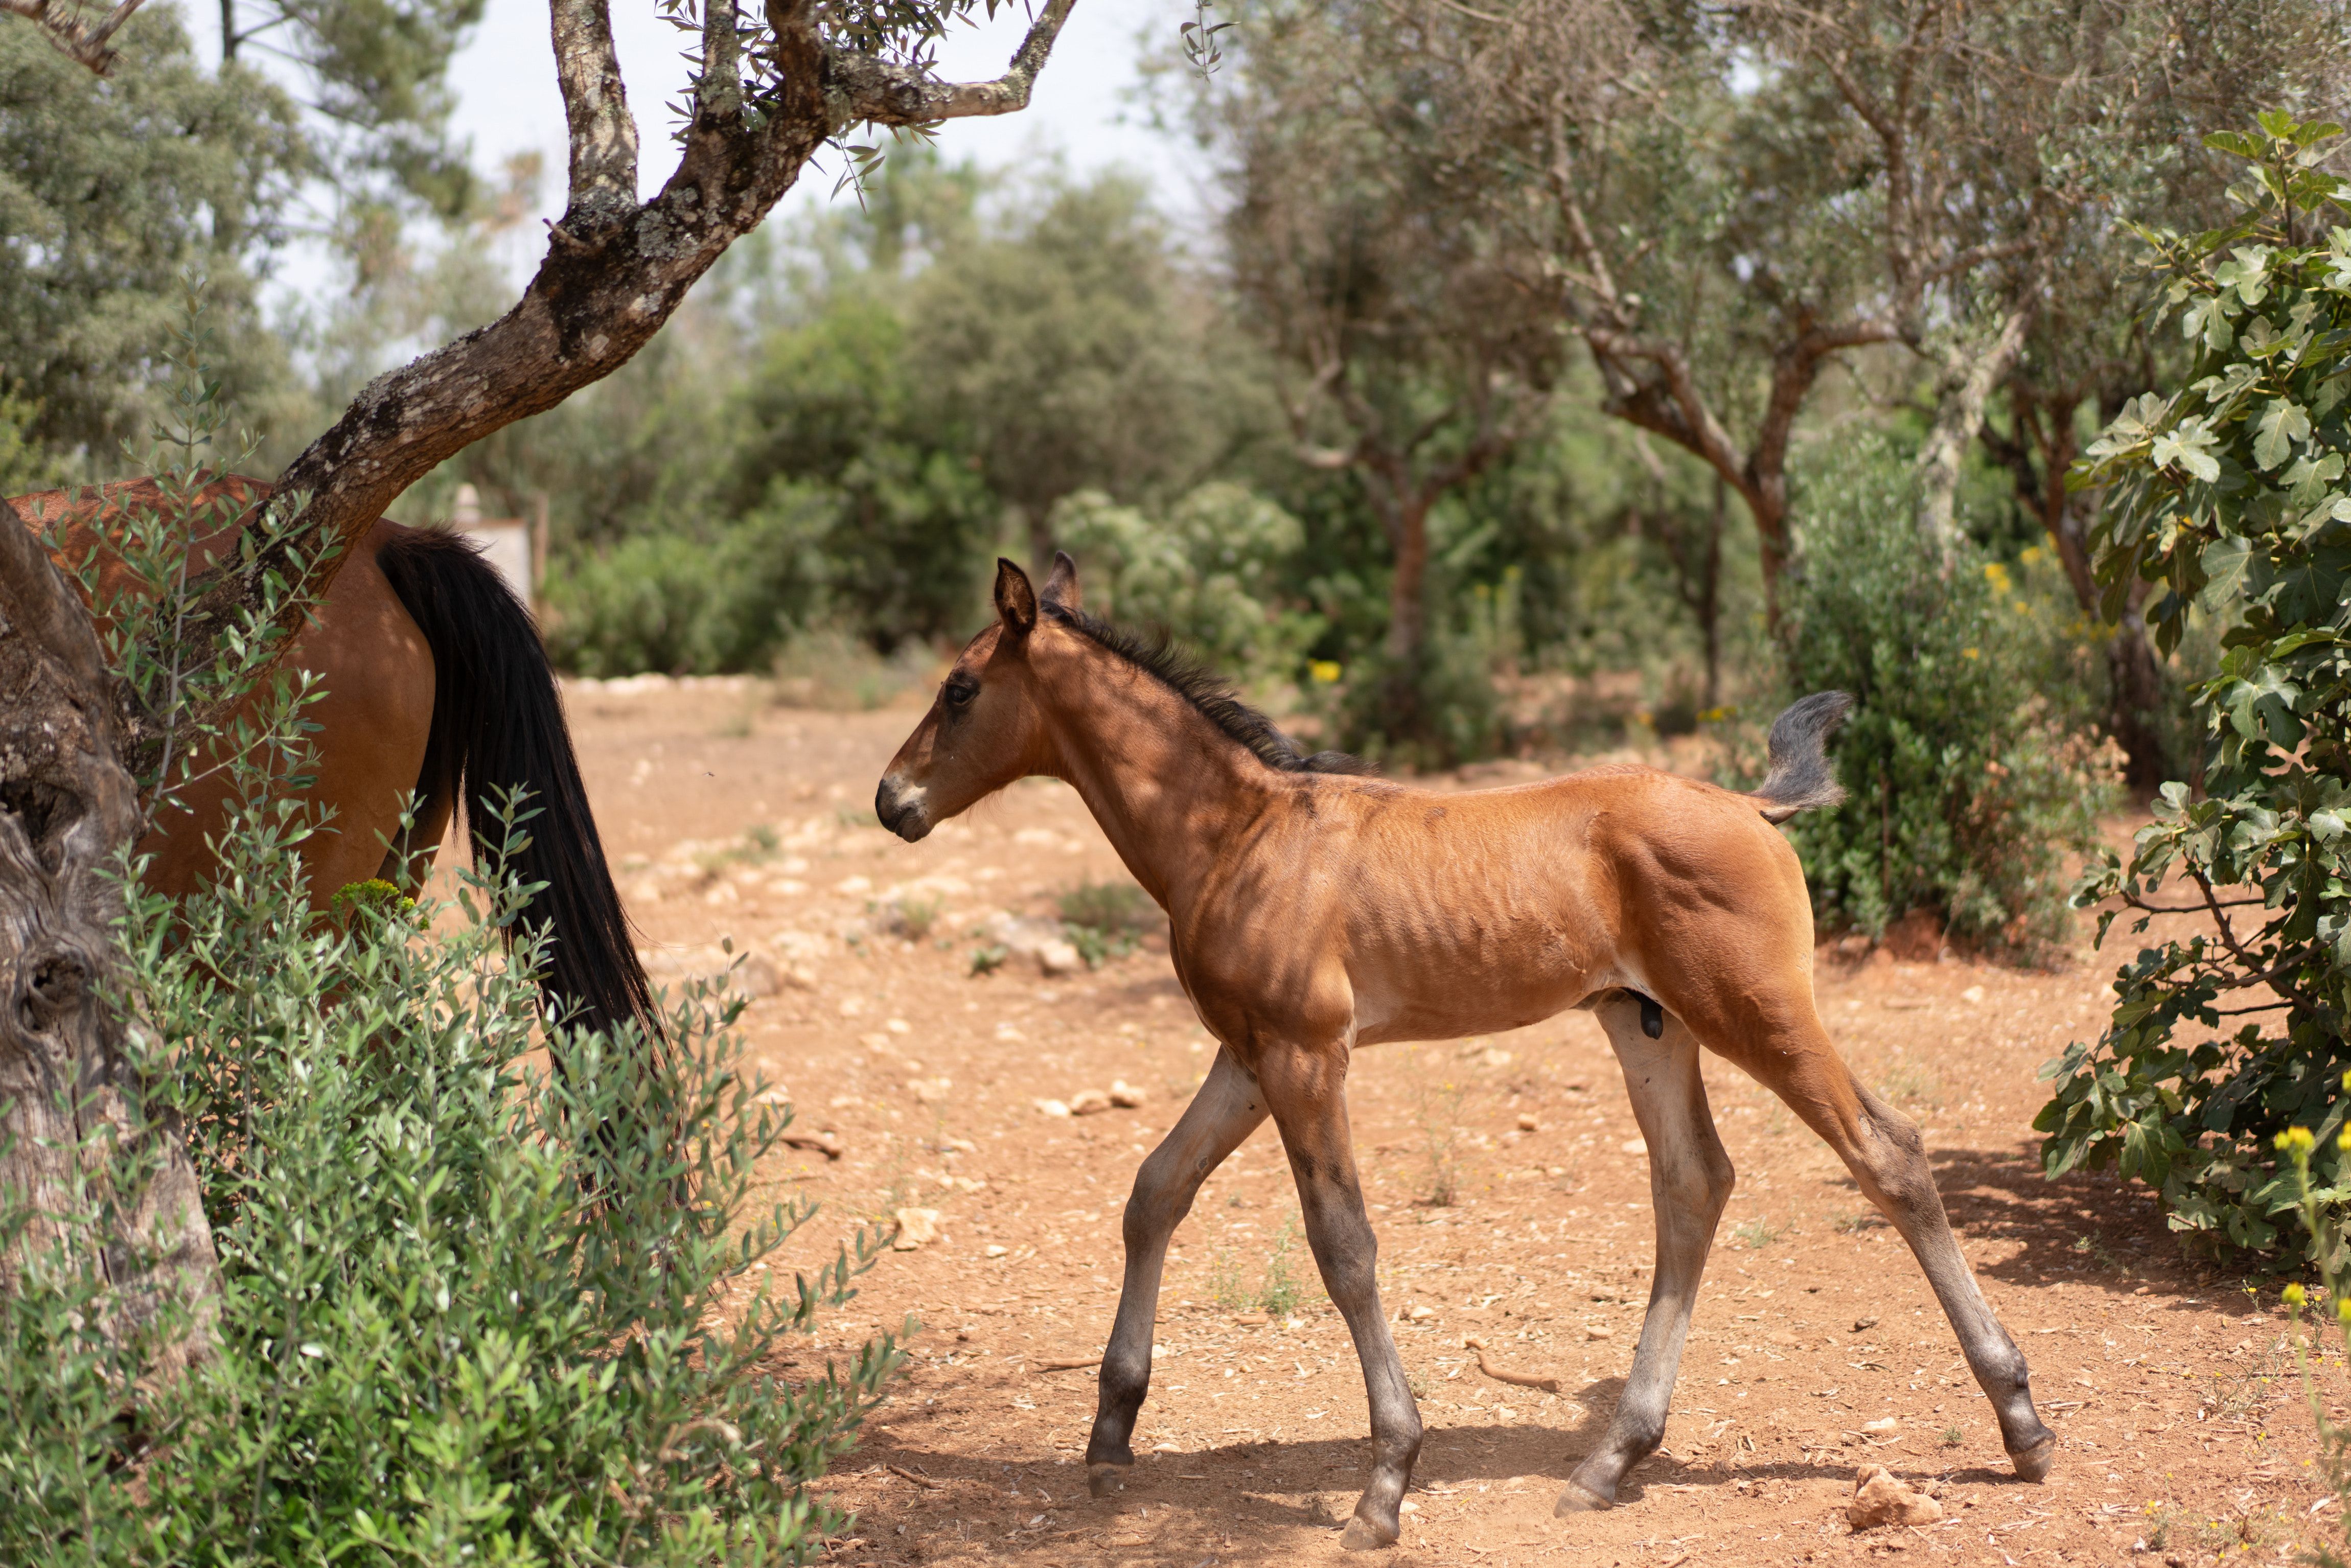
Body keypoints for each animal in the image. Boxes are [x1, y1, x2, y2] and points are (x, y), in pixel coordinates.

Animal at [874, 554, 2056, 1549]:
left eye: (961, 689)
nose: (893, 801)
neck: (1238, 833)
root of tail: (1753, 803)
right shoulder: (1247, 1054)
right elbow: (1154, 1190)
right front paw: (1111, 1433)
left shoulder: (1306, 1054)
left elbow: (1342, 1245)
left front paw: (1387, 1481)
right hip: (1647, 1023)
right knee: (1693, 1184)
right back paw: (1611, 1458)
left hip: (1754, 1009)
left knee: (1887, 1152)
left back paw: (2021, 1421)